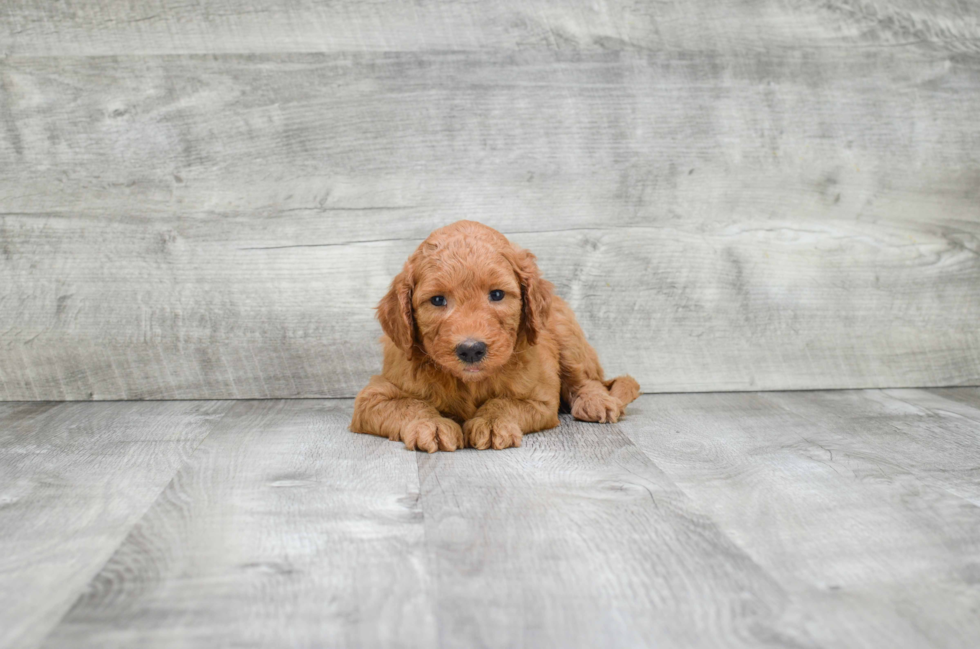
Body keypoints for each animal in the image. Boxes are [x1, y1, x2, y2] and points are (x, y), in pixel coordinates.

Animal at [348, 220, 640, 454]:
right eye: (438, 300)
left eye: (497, 294)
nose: (471, 349)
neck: (468, 383)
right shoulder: (373, 397)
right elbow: (409, 405)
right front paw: (432, 424)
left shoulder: (541, 396)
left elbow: (504, 402)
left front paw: (491, 422)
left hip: (565, 332)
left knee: (587, 379)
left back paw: (595, 401)